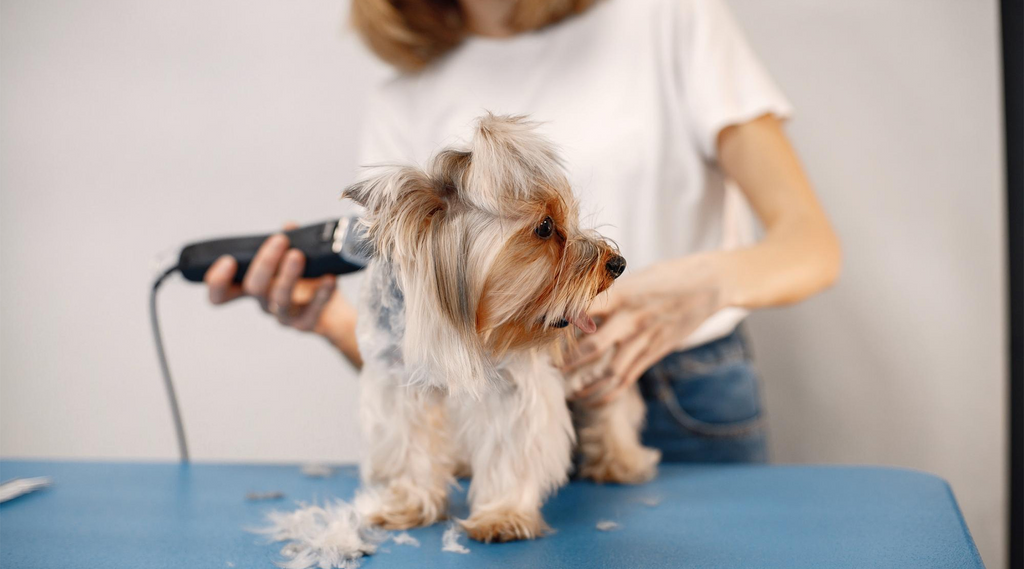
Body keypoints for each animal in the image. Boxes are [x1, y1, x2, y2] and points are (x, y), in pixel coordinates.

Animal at [348, 114, 659, 540]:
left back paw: (621, 461)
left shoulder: (512, 387)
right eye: (545, 227)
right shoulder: (398, 384)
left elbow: (509, 451)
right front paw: (408, 504)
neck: (461, 325)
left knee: (611, 405)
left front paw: (502, 515)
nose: (617, 263)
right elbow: (410, 446)